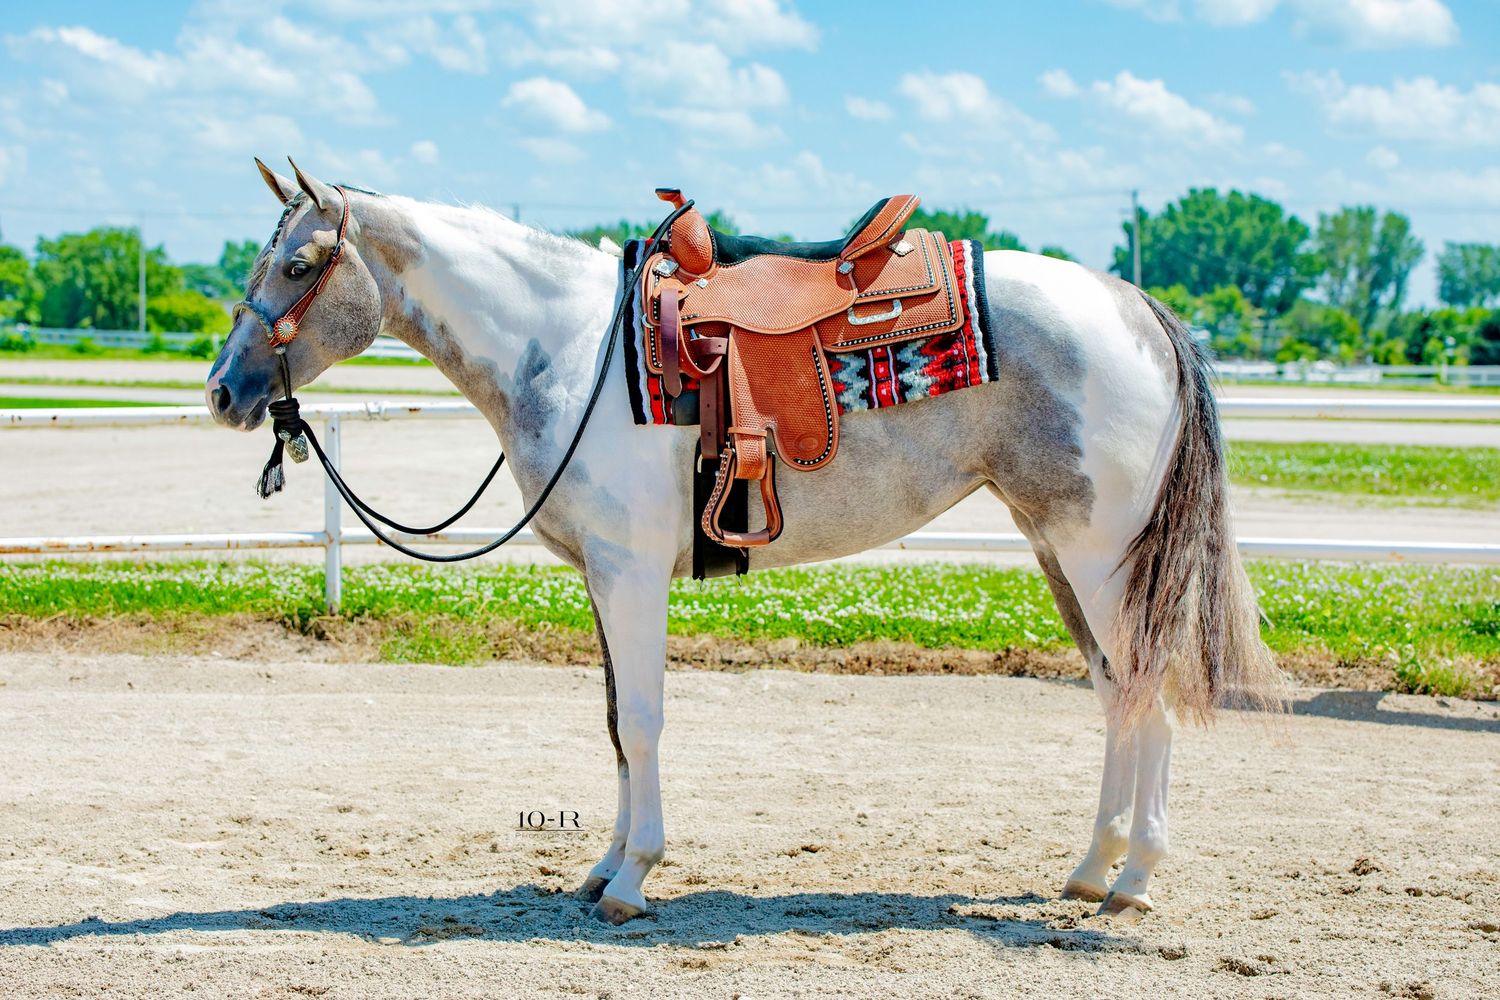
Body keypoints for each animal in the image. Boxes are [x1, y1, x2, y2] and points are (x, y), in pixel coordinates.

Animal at [205, 160, 1282, 925]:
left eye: (297, 265)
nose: (222, 390)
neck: (570, 348)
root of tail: (1136, 306)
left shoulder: (632, 571)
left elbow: (642, 721)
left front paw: (633, 878)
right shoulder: (603, 576)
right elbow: (614, 725)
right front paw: (602, 865)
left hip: (1103, 557)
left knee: (1148, 700)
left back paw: (1134, 882)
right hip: (1060, 551)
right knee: (1115, 698)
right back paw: (1091, 868)